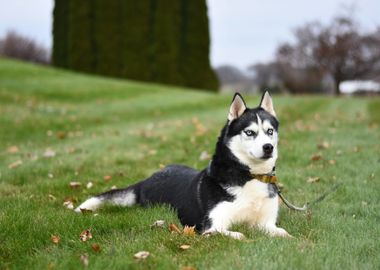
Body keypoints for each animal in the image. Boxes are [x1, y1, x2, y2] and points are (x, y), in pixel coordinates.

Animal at [75, 92, 290, 238]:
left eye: (270, 131)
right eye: (250, 132)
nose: (268, 147)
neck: (249, 176)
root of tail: (147, 179)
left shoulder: (266, 223)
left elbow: (283, 232)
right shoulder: (212, 225)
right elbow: (237, 234)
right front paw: (243, 236)